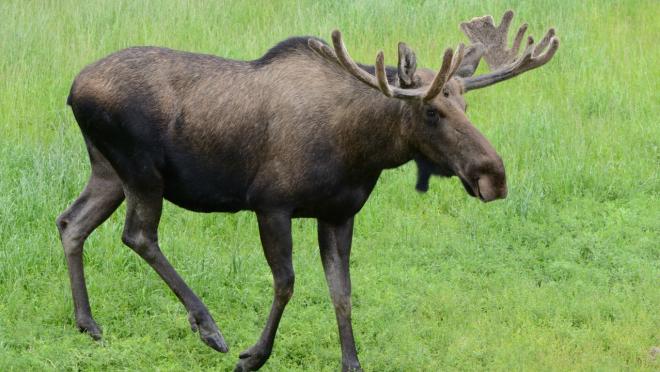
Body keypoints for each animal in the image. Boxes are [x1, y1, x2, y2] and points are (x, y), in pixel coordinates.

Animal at [59, 10, 560, 372]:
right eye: (432, 111)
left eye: (466, 104)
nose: (493, 176)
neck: (361, 152)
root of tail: (72, 89)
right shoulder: (271, 204)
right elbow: (286, 283)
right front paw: (253, 356)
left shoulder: (339, 213)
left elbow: (342, 290)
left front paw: (352, 362)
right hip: (141, 170)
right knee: (138, 235)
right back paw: (209, 328)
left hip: (108, 171)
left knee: (71, 222)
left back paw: (88, 323)